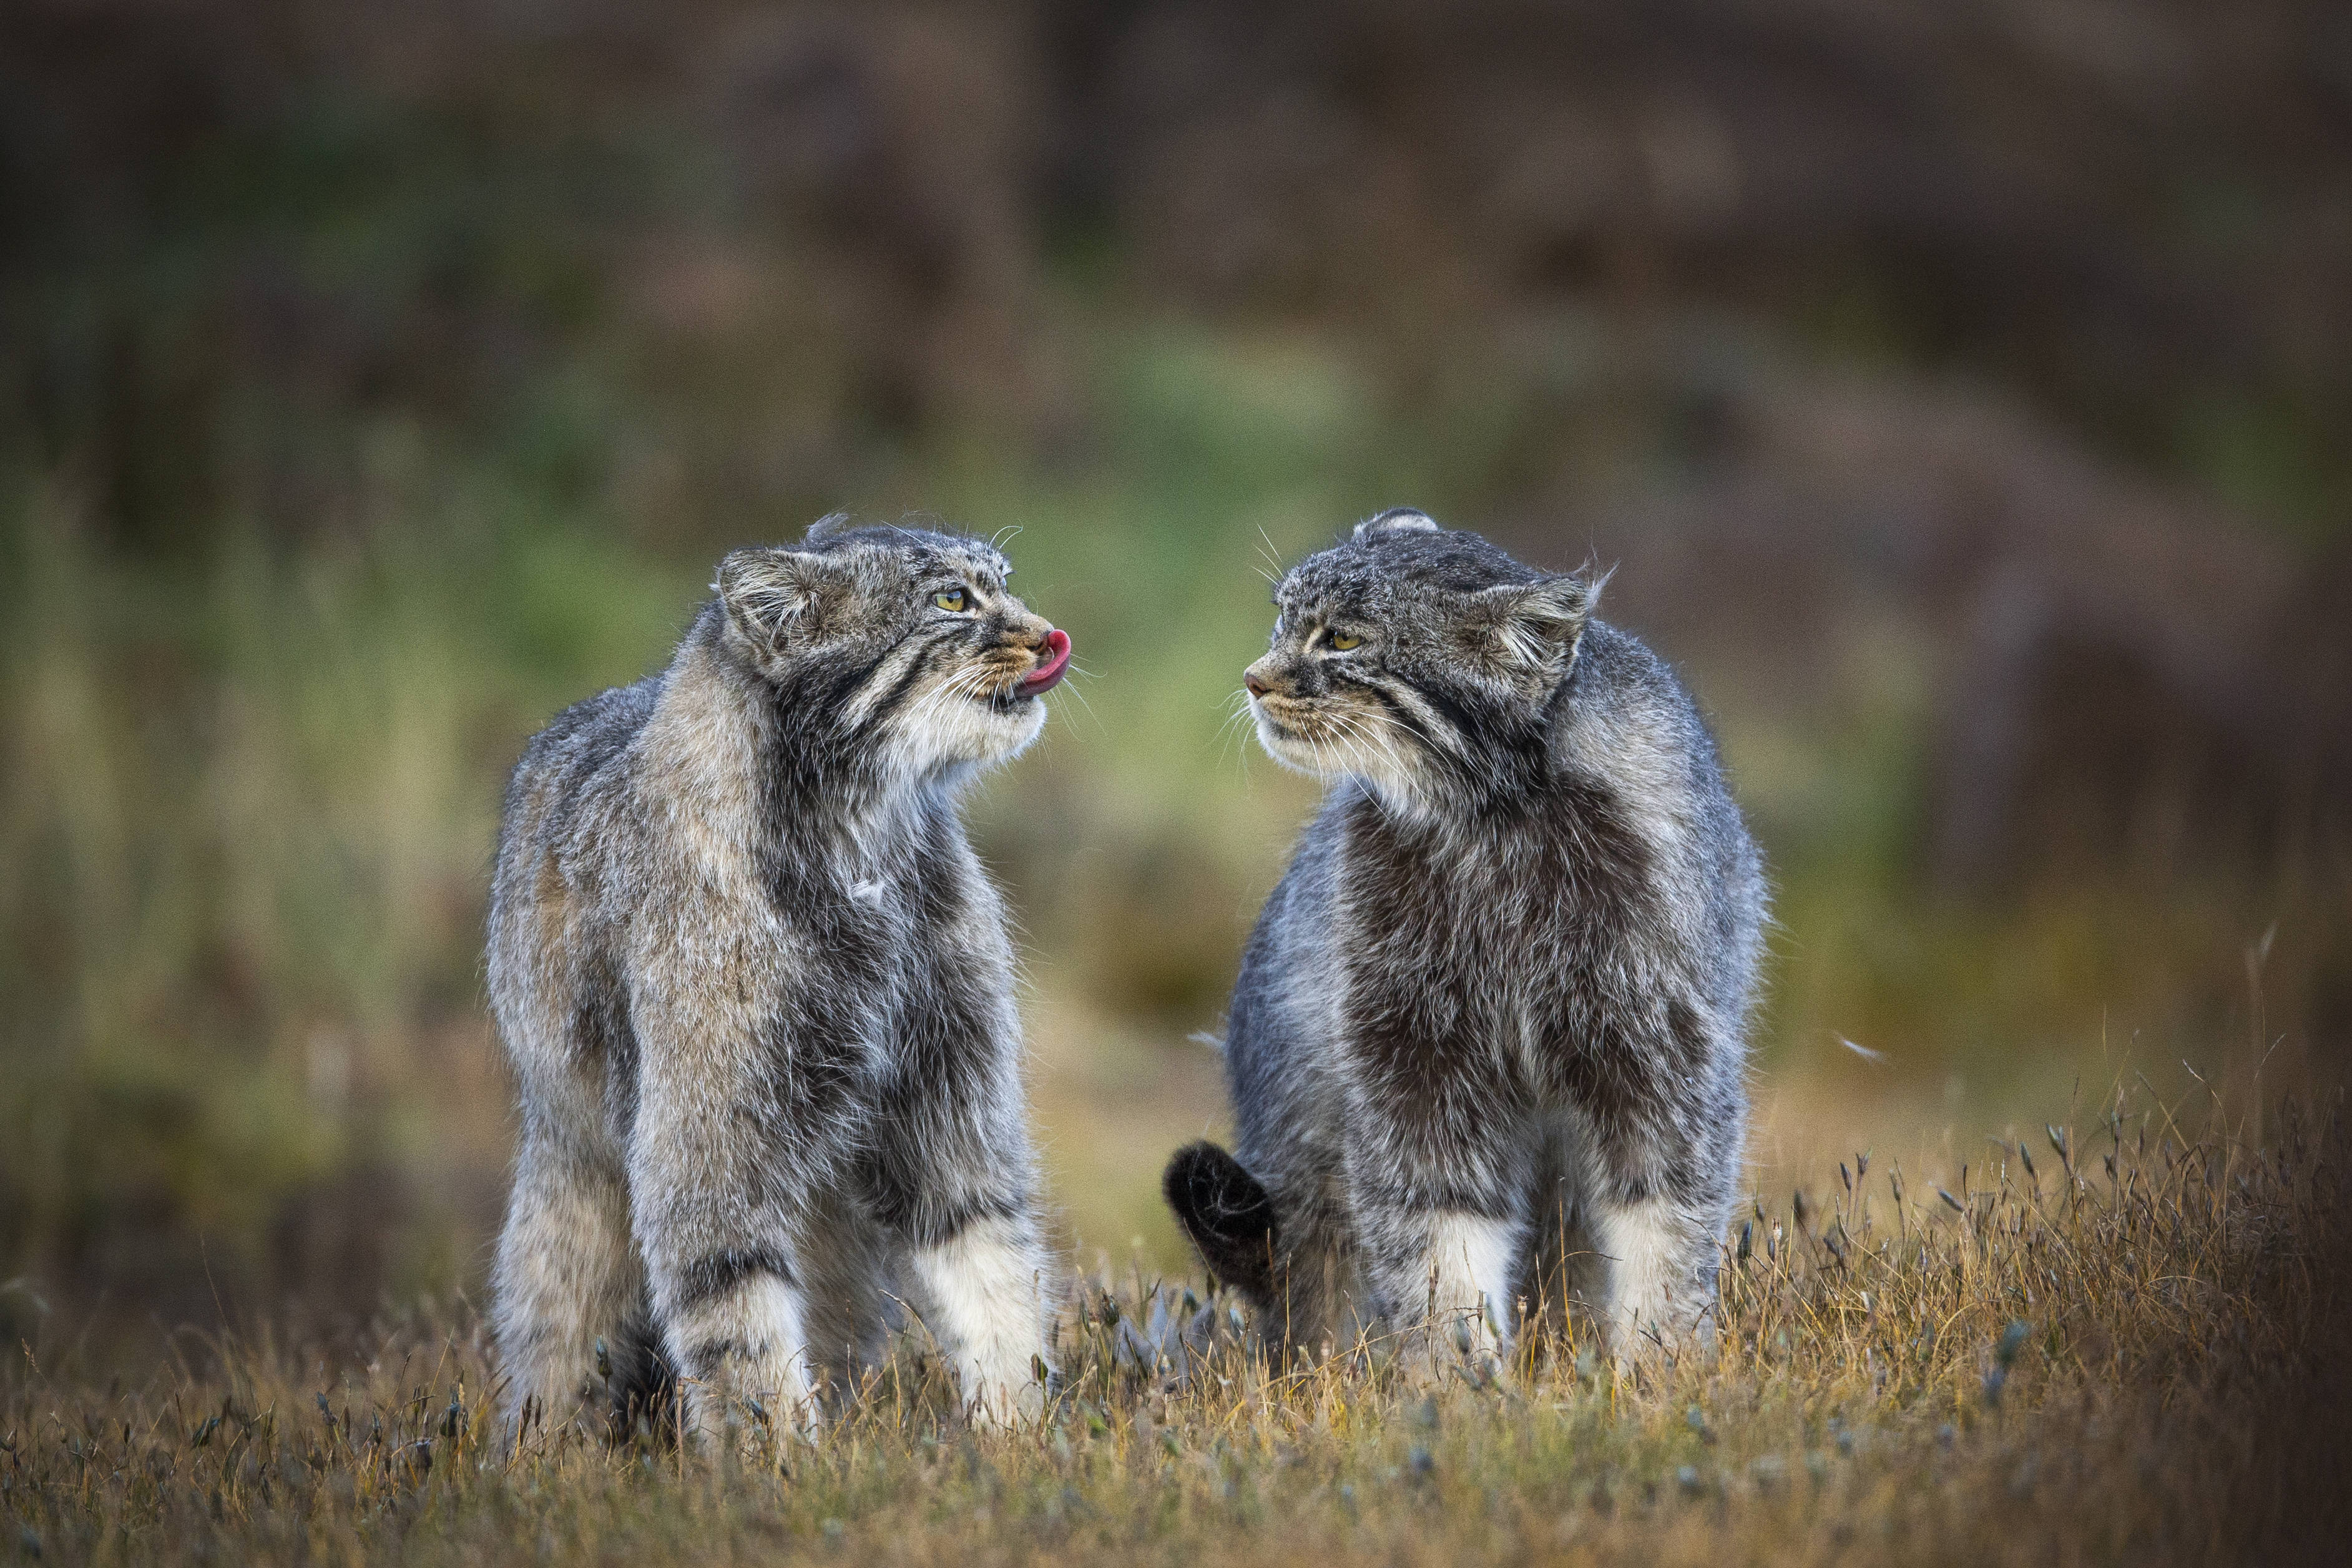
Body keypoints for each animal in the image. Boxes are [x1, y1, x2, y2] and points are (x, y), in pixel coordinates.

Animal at [501, 517, 1077, 1448]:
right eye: (953, 599)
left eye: (1004, 583)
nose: (1050, 634)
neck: (862, 843)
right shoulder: (706, 1149)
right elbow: (745, 1344)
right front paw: (782, 1470)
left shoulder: (950, 1105)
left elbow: (994, 1279)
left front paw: (1019, 1438)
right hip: (581, 1169)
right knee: (555, 1333)